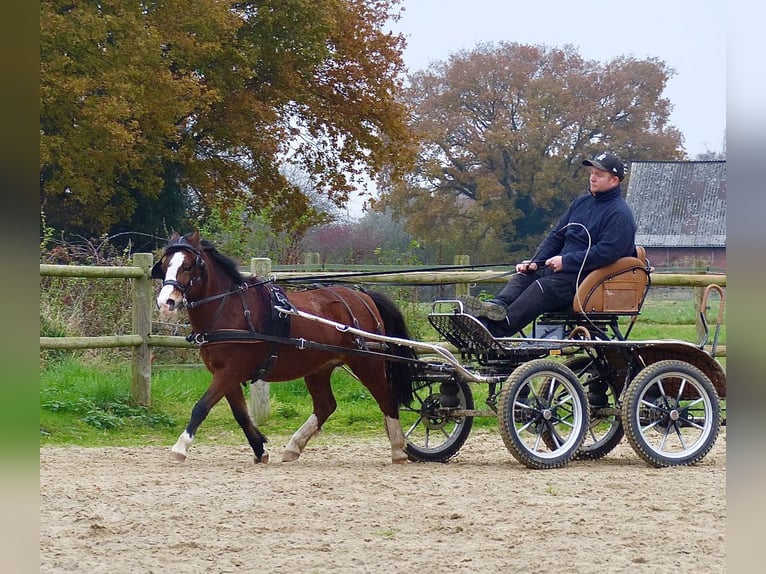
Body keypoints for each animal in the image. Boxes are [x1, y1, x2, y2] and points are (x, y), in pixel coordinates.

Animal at [154, 232, 420, 466]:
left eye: (188, 266)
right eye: (165, 264)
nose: (166, 302)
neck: (229, 309)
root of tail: (364, 297)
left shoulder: (231, 371)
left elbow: (201, 407)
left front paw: (179, 449)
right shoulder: (225, 373)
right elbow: (240, 414)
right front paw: (260, 449)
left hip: (367, 362)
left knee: (387, 400)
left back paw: (399, 449)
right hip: (319, 367)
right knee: (325, 406)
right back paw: (294, 446)